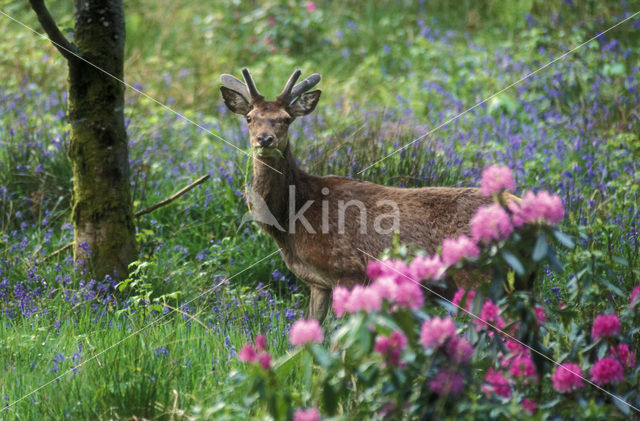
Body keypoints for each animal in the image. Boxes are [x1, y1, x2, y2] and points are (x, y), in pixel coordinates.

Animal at [220, 68, 510, 322]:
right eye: (249, 117)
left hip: (479, 276)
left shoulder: (348, 271)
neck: (292, 219)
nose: (265, 139)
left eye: (286, 119)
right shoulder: (319, 283)